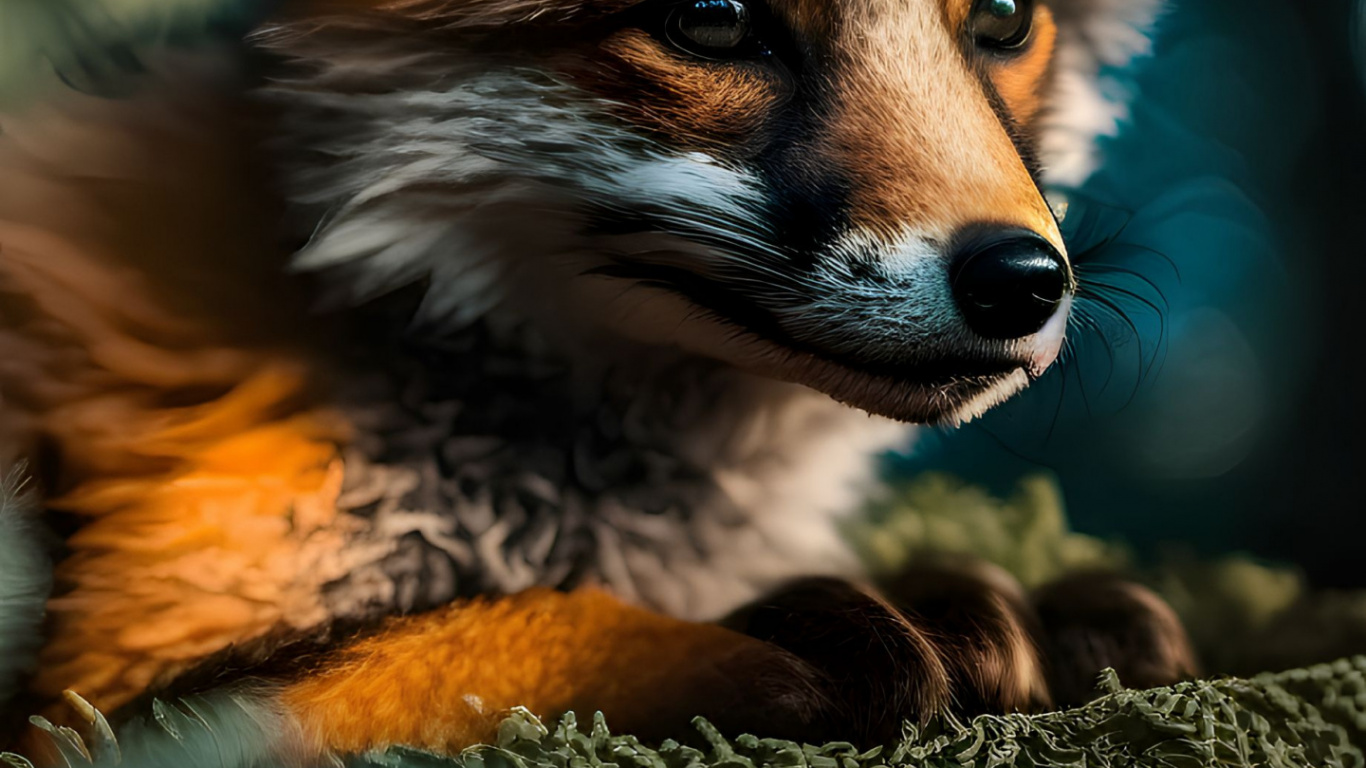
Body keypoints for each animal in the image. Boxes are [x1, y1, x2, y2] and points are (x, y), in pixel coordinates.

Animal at [0, 0, 1196, 762]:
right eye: (711, 17)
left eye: (1002, 14)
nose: (1021, 281)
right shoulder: (99, 708)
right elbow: (531, 626)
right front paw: (808, 633)